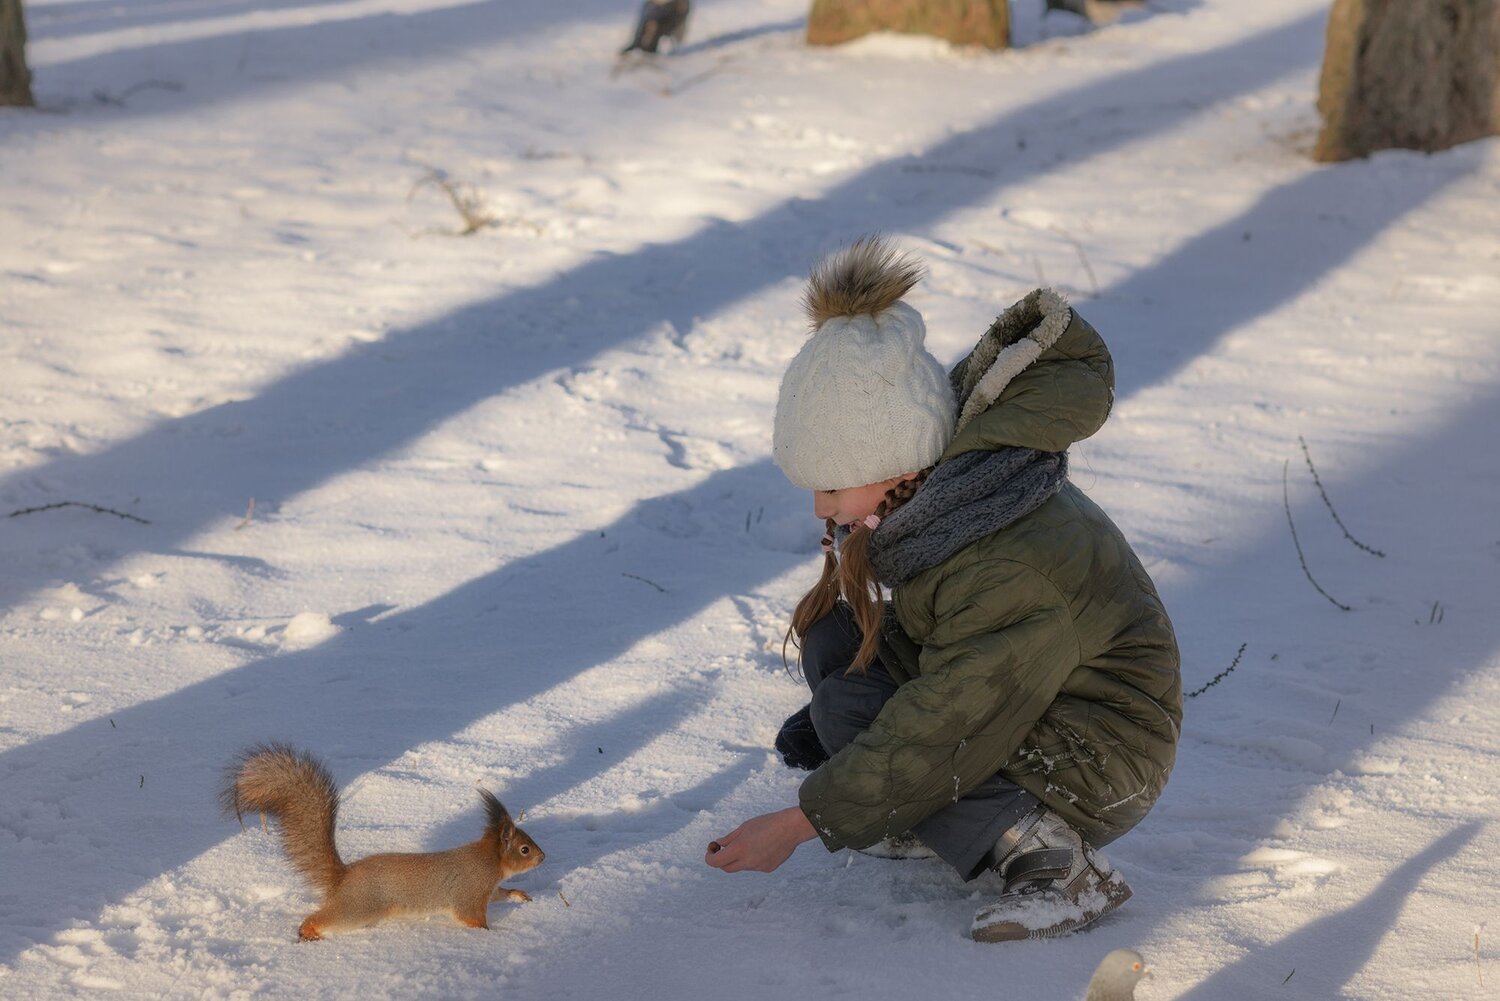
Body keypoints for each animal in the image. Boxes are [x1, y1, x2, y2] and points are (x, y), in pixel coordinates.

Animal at [222, 743, 544, 940]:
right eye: (524, 849)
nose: (543, 858)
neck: (490, 861)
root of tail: (344, 877)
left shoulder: (488, 889)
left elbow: (501, 893)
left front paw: (519, 895)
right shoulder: (470, 893)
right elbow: (471, 918)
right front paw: (490, 936)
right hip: (358, 908)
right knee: (324, 918)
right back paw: (308, 931)